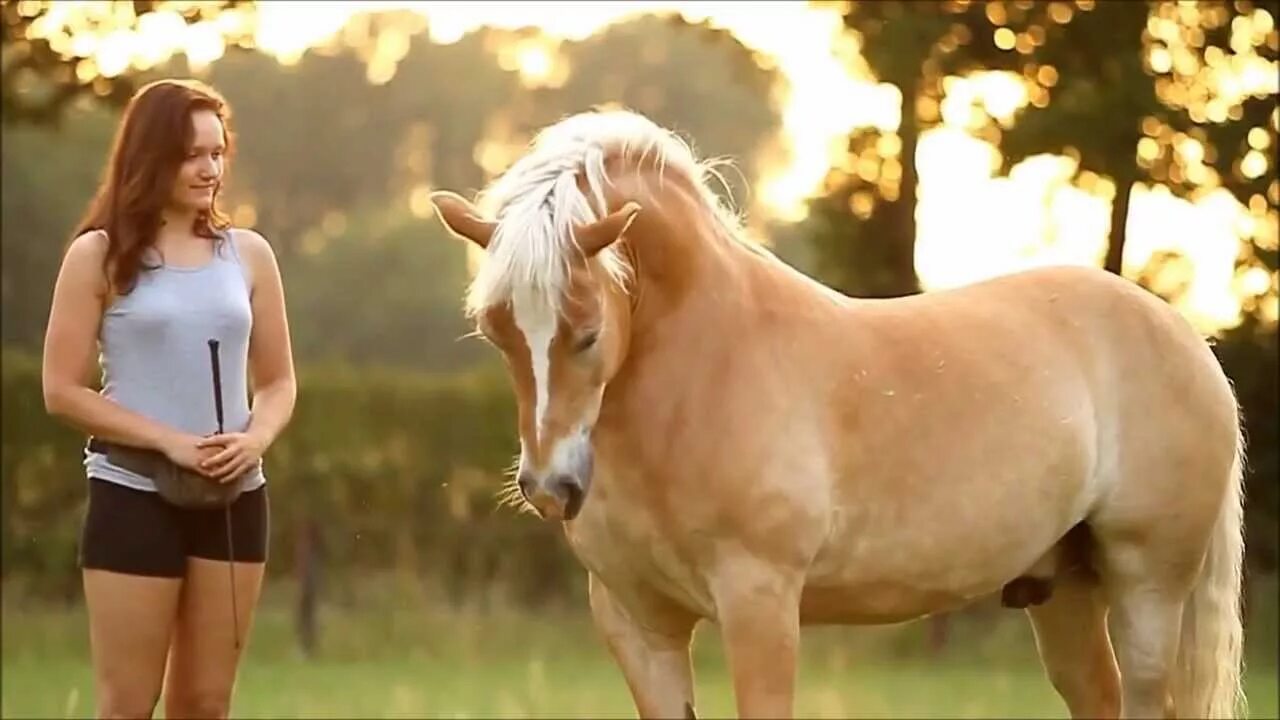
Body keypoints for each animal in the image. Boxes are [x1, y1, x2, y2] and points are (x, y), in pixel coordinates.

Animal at [427, 109, 1239, 712]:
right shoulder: (637, 623)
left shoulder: (760, 606)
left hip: (1147, 585)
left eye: (588, 333)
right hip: (1064, 591)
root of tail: (1186, 340)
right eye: (496, 330)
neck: (709, 371)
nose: (550, 488)